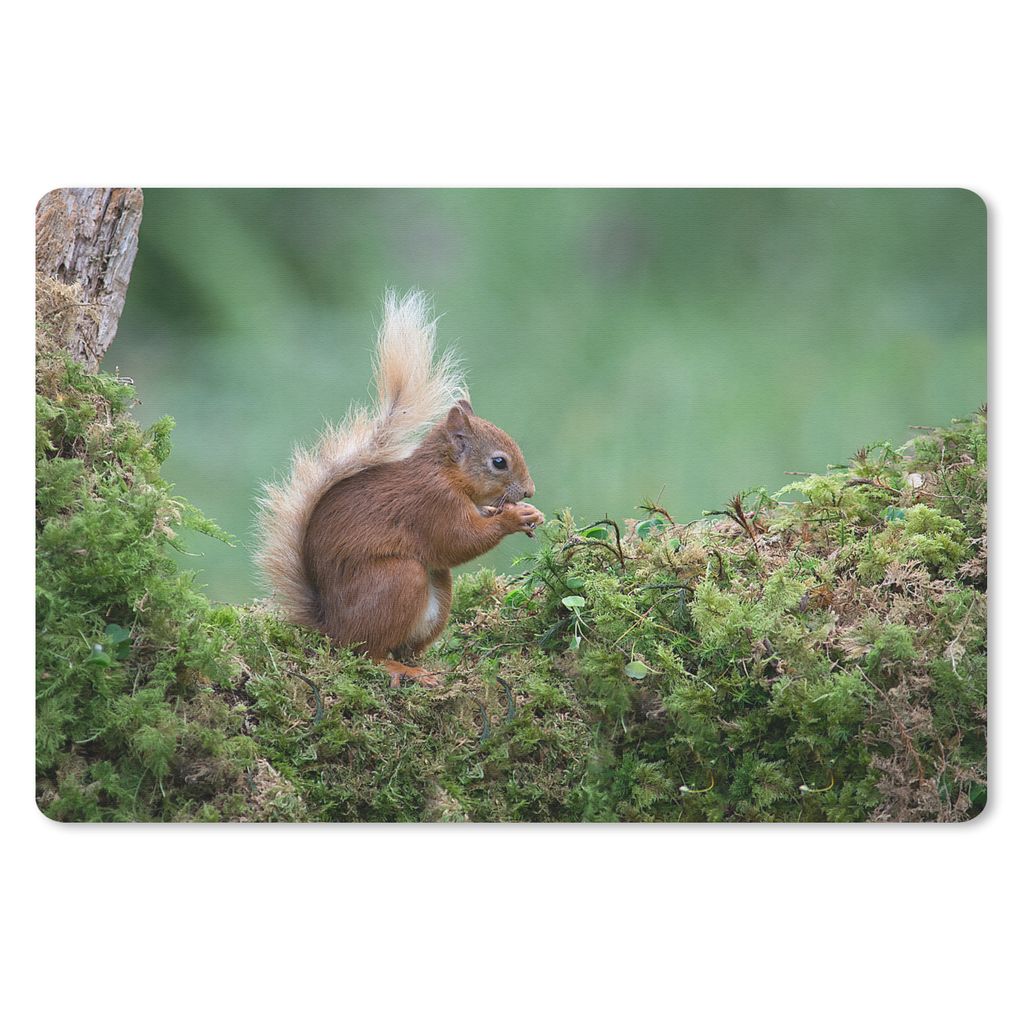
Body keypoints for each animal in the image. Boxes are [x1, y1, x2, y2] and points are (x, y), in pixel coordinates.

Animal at [256, 291, 543, 686]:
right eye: (499, 462)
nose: (529, 491)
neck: (446, 473)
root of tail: (330, 628)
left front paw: (526, 513)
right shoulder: (432, 504)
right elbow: (458, 540)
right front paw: (512, 518)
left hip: (437, 594)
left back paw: (423, 667)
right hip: (398, 580)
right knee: (367, 652)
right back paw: (399, 669)